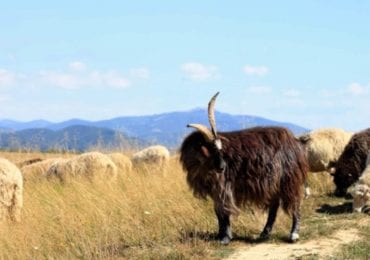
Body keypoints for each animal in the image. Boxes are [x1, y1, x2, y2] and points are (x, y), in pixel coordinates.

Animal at [178, 93, 306, 244]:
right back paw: (264, 233)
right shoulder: (215, 190)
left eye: (219, 149)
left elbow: (224, 211)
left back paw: (293, 234)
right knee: (274, 206)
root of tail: (294, 141)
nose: (222, 167)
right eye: (212, 148)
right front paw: (220, 235)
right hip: (274, 183)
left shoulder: (223, 187)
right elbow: (218, 212)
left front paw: (225, 238)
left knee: (295, 203)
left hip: (289, 179)